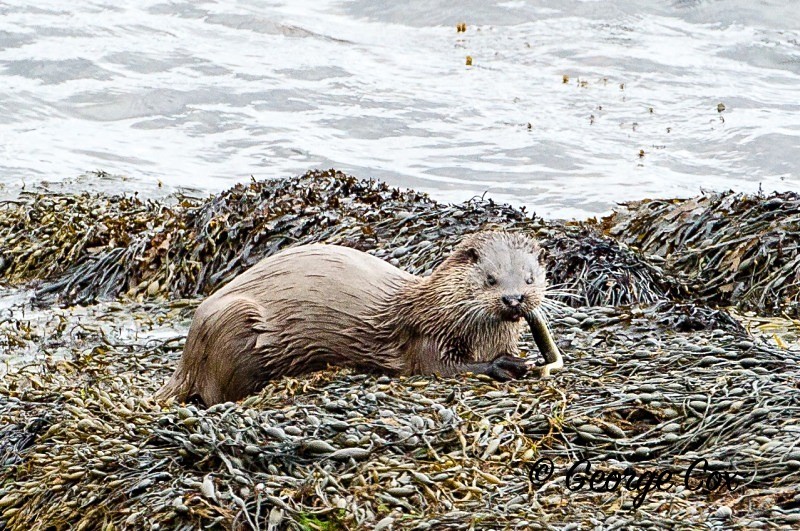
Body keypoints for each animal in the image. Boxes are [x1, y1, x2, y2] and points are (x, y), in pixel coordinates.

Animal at [156, 231, 563, 406]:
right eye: (491, 278)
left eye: (530, 278)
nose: (514, 298)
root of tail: (189, 353)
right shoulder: (427, 335)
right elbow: (437, 367)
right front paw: (505, 364)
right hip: (236, 322)